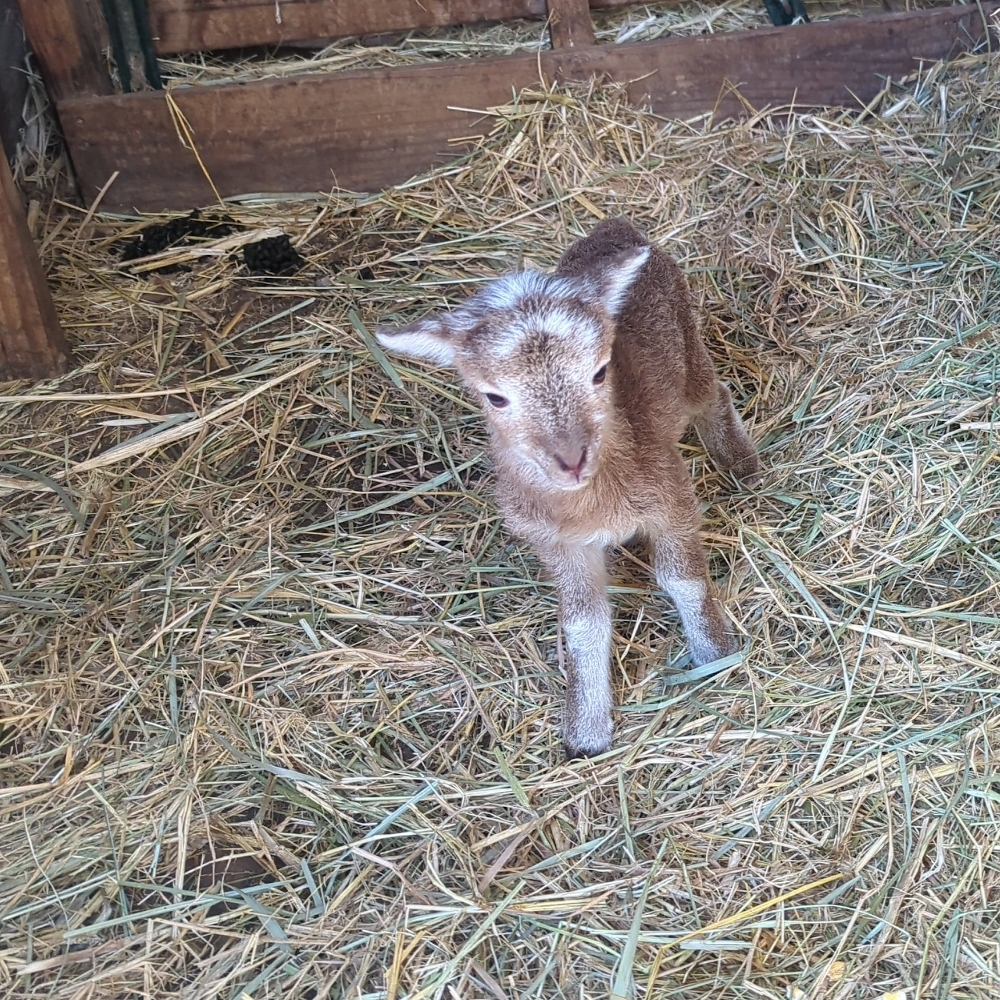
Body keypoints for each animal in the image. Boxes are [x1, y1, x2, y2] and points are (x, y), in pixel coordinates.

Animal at [376, 219, 756, 756]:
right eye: (494, 396)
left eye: (600, 371)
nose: (571, 460)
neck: (592, 502)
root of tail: (614, 226)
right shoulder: (557, 544)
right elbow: (583, 623)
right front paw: (586, 730)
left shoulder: (671, 495)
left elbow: (682, 578)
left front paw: (715, 654)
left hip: (687, 344)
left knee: (712, 393)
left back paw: (742, 464)